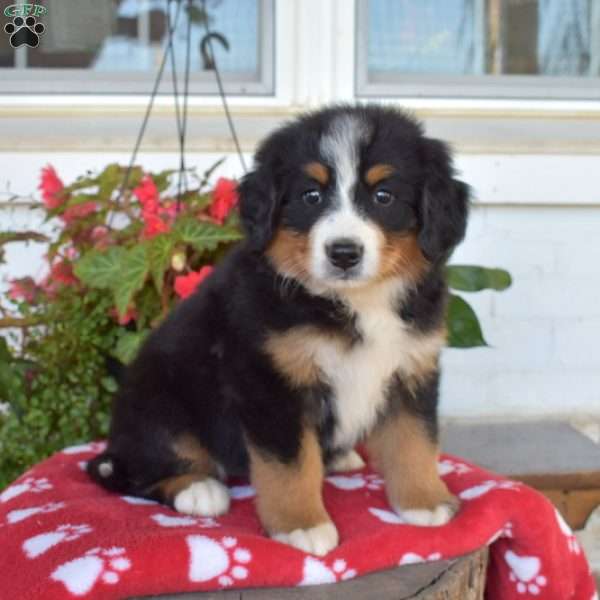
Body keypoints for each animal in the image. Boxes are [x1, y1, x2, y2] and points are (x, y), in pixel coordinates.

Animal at [89, 104, 472, 556]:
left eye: (384, 196)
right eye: (311, 196)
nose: (344, 253)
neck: (352, 302)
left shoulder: (411, 368)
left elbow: (414, 441)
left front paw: (424, 501)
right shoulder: (271, 381)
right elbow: (291, 464)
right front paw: (301, 525)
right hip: (161, 399)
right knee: (128, 471)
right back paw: (198, 489)